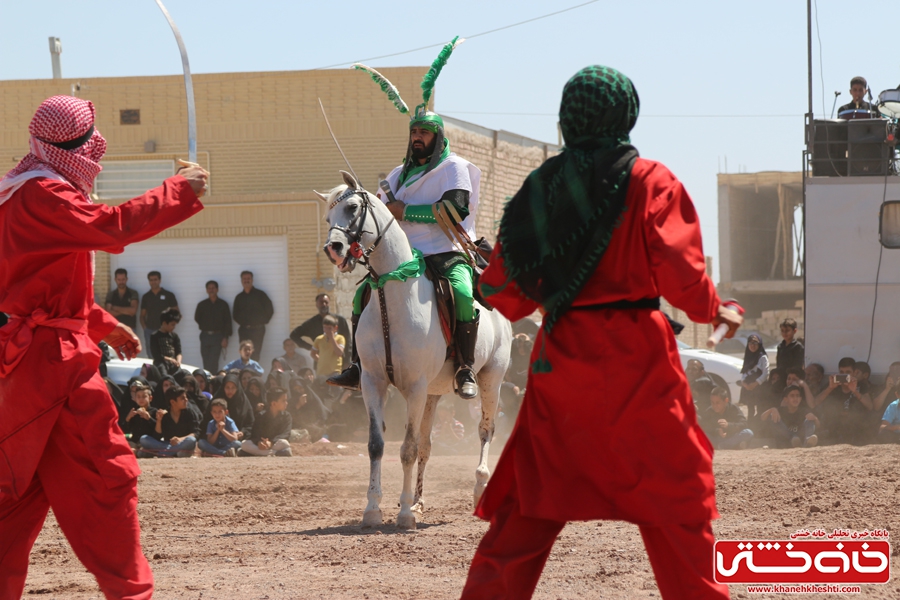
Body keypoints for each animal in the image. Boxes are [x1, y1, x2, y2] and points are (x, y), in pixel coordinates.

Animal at [316, 171, 512, 528]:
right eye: (327, 217)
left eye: (352, 207)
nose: (333, 249)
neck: (392, 295)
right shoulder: (373, 383)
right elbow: (377, 445)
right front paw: (374, 509)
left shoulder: (415, 388)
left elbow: (406, 447)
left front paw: (404, 512)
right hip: (433, 393)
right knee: (426, 445)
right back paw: (420, 501)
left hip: (491, 378)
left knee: (485, 430)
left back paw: (478, 489)